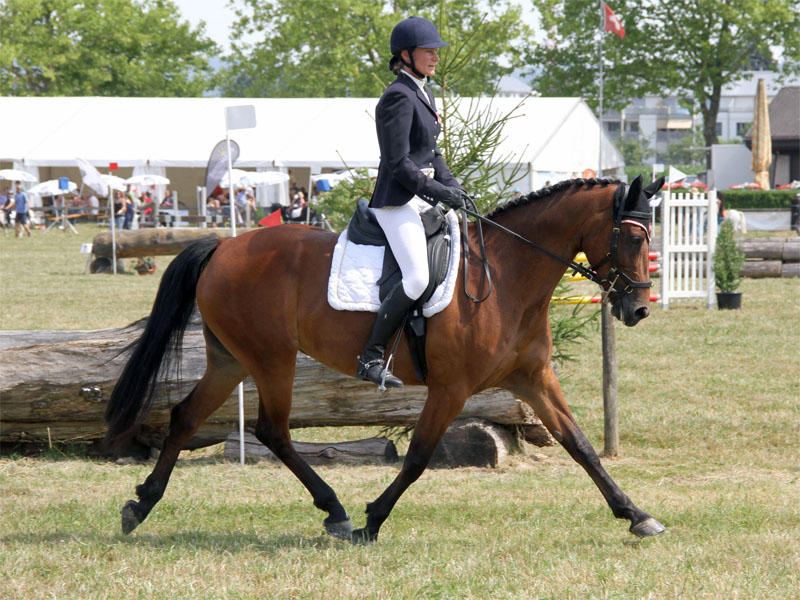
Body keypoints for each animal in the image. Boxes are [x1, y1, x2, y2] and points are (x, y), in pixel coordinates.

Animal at [104, 175, 666, 543]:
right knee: (272, 431)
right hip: (271, 358)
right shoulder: (451, 388)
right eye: (632, 236)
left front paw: (637, 514)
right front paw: (373, 520)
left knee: (186, 417)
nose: (639, 309)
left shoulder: (532, 378)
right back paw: (335, 512)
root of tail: (223, 248)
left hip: (232, 359)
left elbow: (580, 445)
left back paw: (141, 504)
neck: (506, 277)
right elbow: (418, 457)